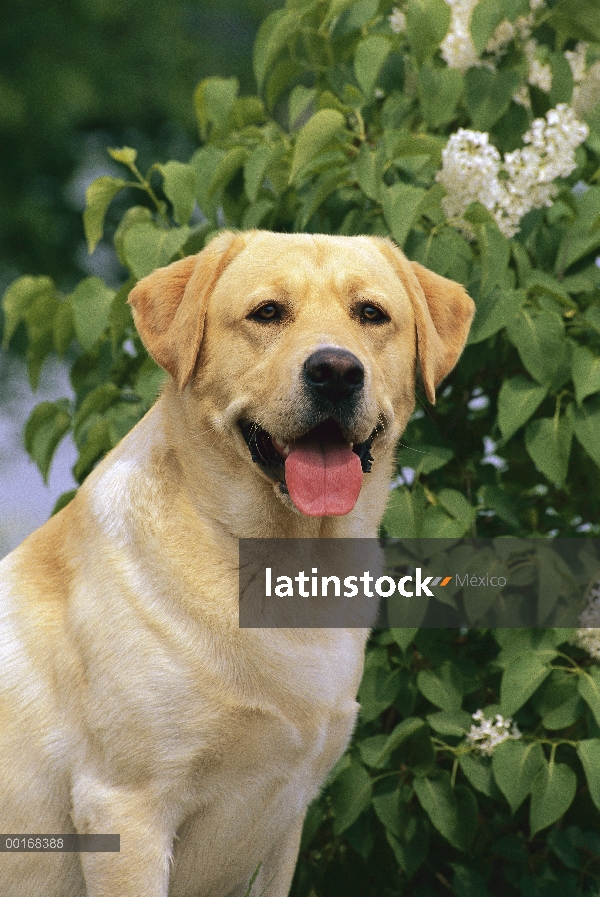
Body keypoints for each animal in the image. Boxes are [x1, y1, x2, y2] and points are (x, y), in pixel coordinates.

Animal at [0, 233, 474, 896]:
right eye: (267, 312)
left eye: (371, 314)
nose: (336, 371)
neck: (288, 563)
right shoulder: (125, 807)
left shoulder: (284, 823)